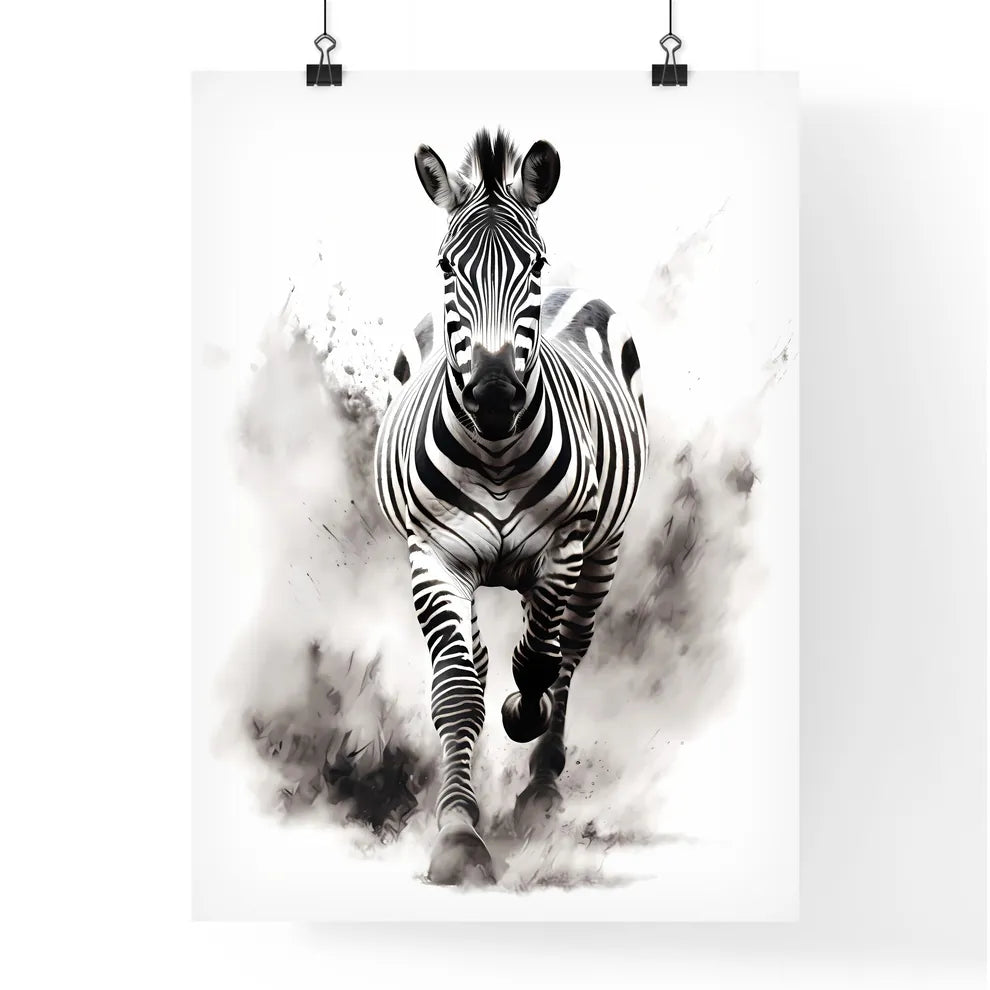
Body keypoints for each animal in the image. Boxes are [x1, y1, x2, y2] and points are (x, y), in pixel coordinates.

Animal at [373, 129, 648, 884]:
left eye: (534, 264)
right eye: (446, 265)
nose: (495, 395)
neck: (495, 450)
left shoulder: (564, 548)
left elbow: (537, 666)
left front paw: (521, 715)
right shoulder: (432, 557)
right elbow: (458, 691)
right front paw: (457, 832)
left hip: (602, 551)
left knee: (568, 651)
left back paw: (543, 787)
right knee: (486, 657)